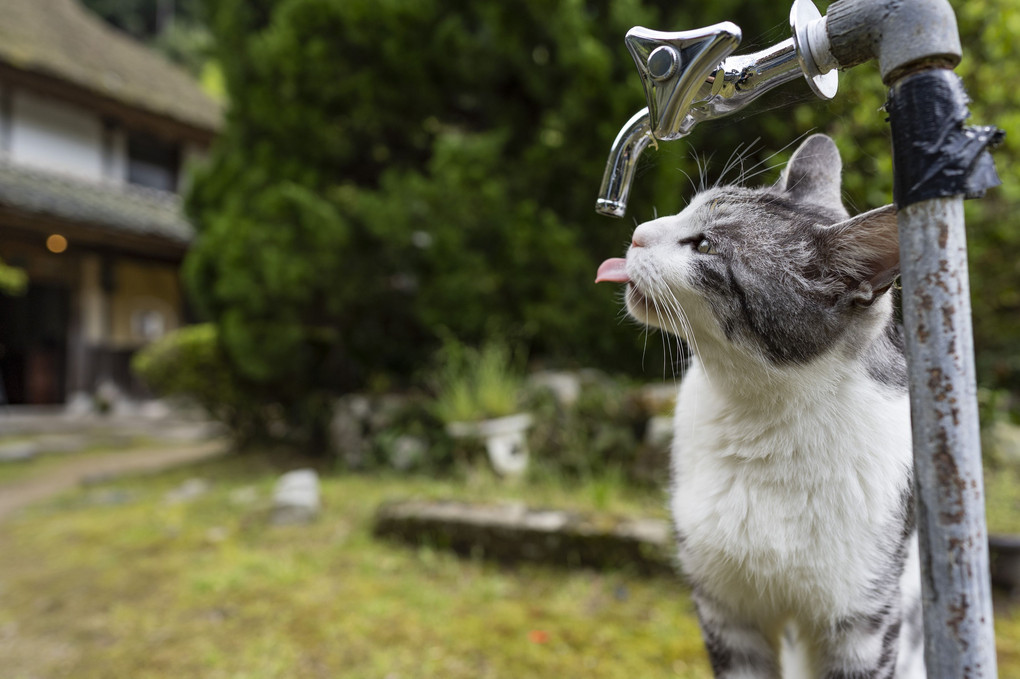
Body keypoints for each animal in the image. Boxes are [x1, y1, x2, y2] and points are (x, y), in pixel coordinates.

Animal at [595, 133, 926, 676]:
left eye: (705, 246)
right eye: (688, 208)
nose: (639, 233)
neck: (759, 419)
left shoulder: (863, 623)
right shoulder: (727, 615)